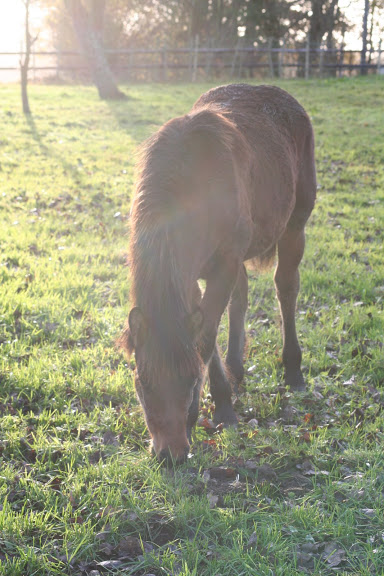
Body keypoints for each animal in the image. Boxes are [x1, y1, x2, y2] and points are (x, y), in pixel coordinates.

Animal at [120, 84, 316, 464]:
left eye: (191, 382)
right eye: (143, 384)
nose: (170, 454)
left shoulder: (224, 263)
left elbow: (206, 338)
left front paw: (223, 408)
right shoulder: (195, 274)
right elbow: (208, 330)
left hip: (294, 227)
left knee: (286, 288)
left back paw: (293, 370)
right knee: (241, 298)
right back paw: (237, 368)